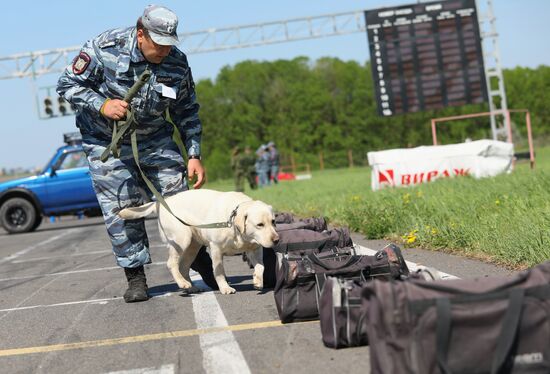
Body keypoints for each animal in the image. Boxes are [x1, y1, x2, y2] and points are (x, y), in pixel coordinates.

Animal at [118, 190, 278, 296]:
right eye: (260, 224)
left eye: (273, 221)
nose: (276, 240)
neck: (232, 222)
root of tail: (161, 203)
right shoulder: (216, 249)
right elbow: (219, 272)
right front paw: (225, 288)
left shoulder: (255, 249)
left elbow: (261, 266)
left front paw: (258, 281)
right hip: (181, 239)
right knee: (171, 264)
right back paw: (182, 283)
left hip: (192, 247)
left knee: (183, 266)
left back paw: (190, 287)